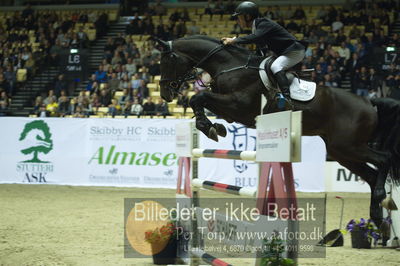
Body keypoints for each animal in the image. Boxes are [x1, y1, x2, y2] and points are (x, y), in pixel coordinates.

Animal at [158, 35, 400, 227]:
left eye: (167, 60)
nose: (164, 95)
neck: (230, 65)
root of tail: (369, 102)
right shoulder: (231, 111)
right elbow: (201, 101)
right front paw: (212, 126)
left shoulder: (239, 105)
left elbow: (198, 96)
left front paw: (209, 127)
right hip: (341, 151)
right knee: (371, 174)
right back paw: (377, 215)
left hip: (349, 146)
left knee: (384, 159)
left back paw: (383, 200)